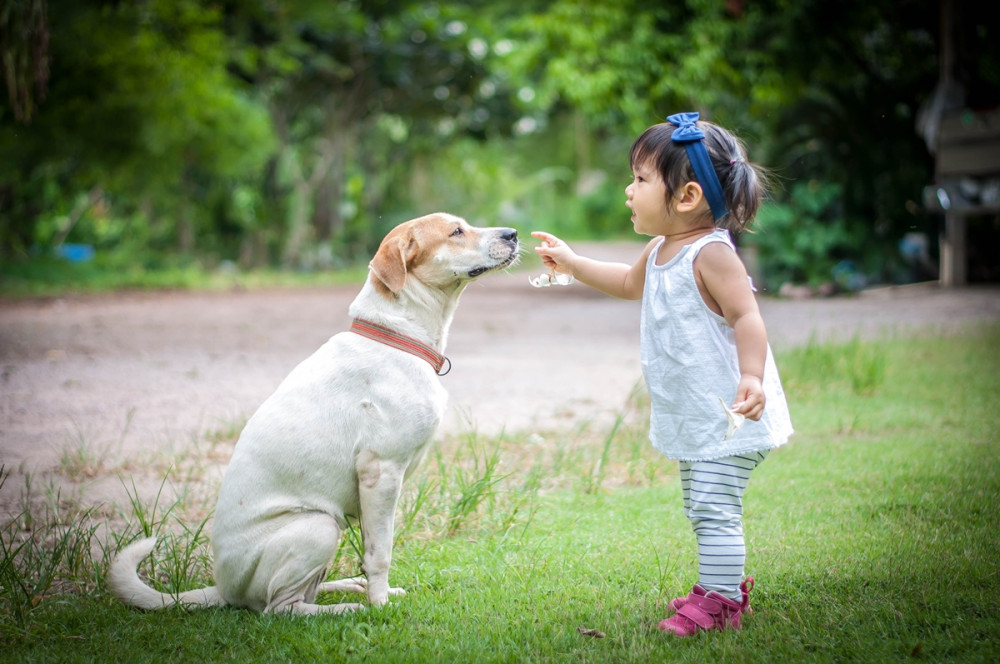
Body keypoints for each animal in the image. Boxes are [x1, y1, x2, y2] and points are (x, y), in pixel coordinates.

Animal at [109, 213, 520, 612]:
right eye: (456, 232)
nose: (513, 234)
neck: (396, 336)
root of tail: (224, 590)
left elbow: (372, 549)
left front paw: (377, 591)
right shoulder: (381, 472)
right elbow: (381, 553)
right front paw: (380, 603)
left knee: (302, 593)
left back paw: (347, 587)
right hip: (319, 526)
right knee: (281, 608)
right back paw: (348, 608)